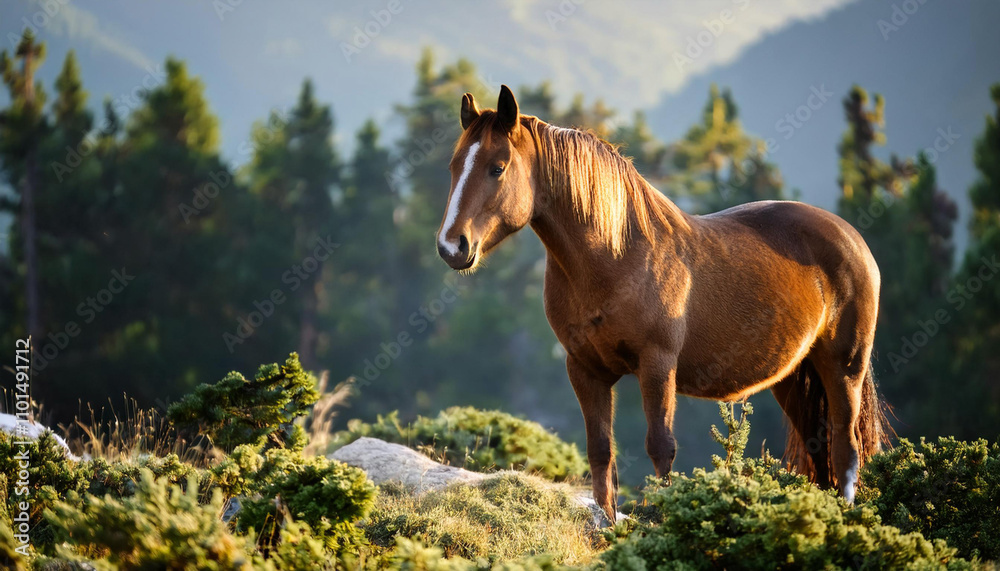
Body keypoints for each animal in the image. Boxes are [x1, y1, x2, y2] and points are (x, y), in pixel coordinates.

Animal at [435, 85, 890, 523]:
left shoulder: (657, 365)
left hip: (843, 368)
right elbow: (600, 450)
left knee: (845, 447)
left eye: (497, 167)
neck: (616, 255)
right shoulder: (584, 369)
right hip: (793, 376)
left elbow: (660, 446)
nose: (451, 246)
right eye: (454, 166)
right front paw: (609, 526)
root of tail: (851, 236)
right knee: (819, 451)